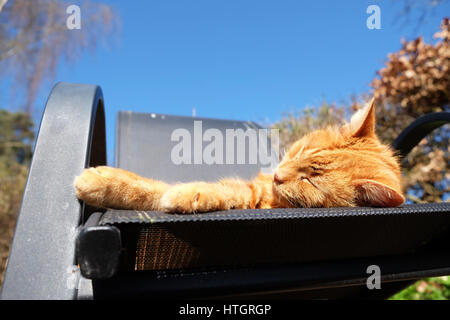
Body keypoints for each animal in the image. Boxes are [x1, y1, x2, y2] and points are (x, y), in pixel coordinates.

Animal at [73, 97, 404, 212]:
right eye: (300, 150)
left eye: (310, 182)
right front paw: (108, 183)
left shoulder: (253, 196)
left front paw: (186, 195)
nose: (277, 176)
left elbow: (216, 192)